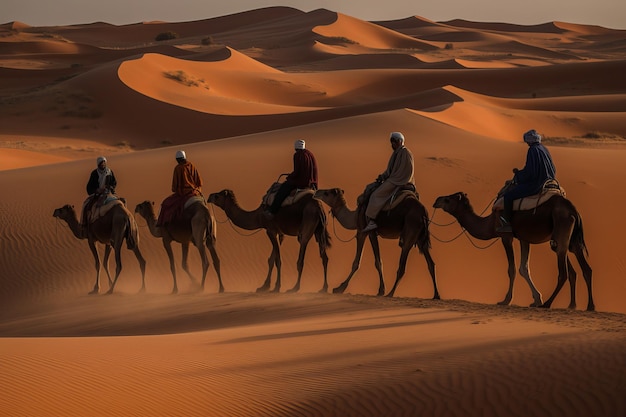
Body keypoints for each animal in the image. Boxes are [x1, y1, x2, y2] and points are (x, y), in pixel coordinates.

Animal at [432, 191, 592, 308]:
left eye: (448, 200)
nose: (436, 200)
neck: (490, 223)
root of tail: (573, 210)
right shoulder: (523, 238)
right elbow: (524, 268)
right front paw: (536, 299)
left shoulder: (506, 236)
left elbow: (512, 269)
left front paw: (506, 300)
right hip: (570, 238)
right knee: (582, 268)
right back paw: (581, 305)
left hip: (561, 225)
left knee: (564, 271)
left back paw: (548, 303)